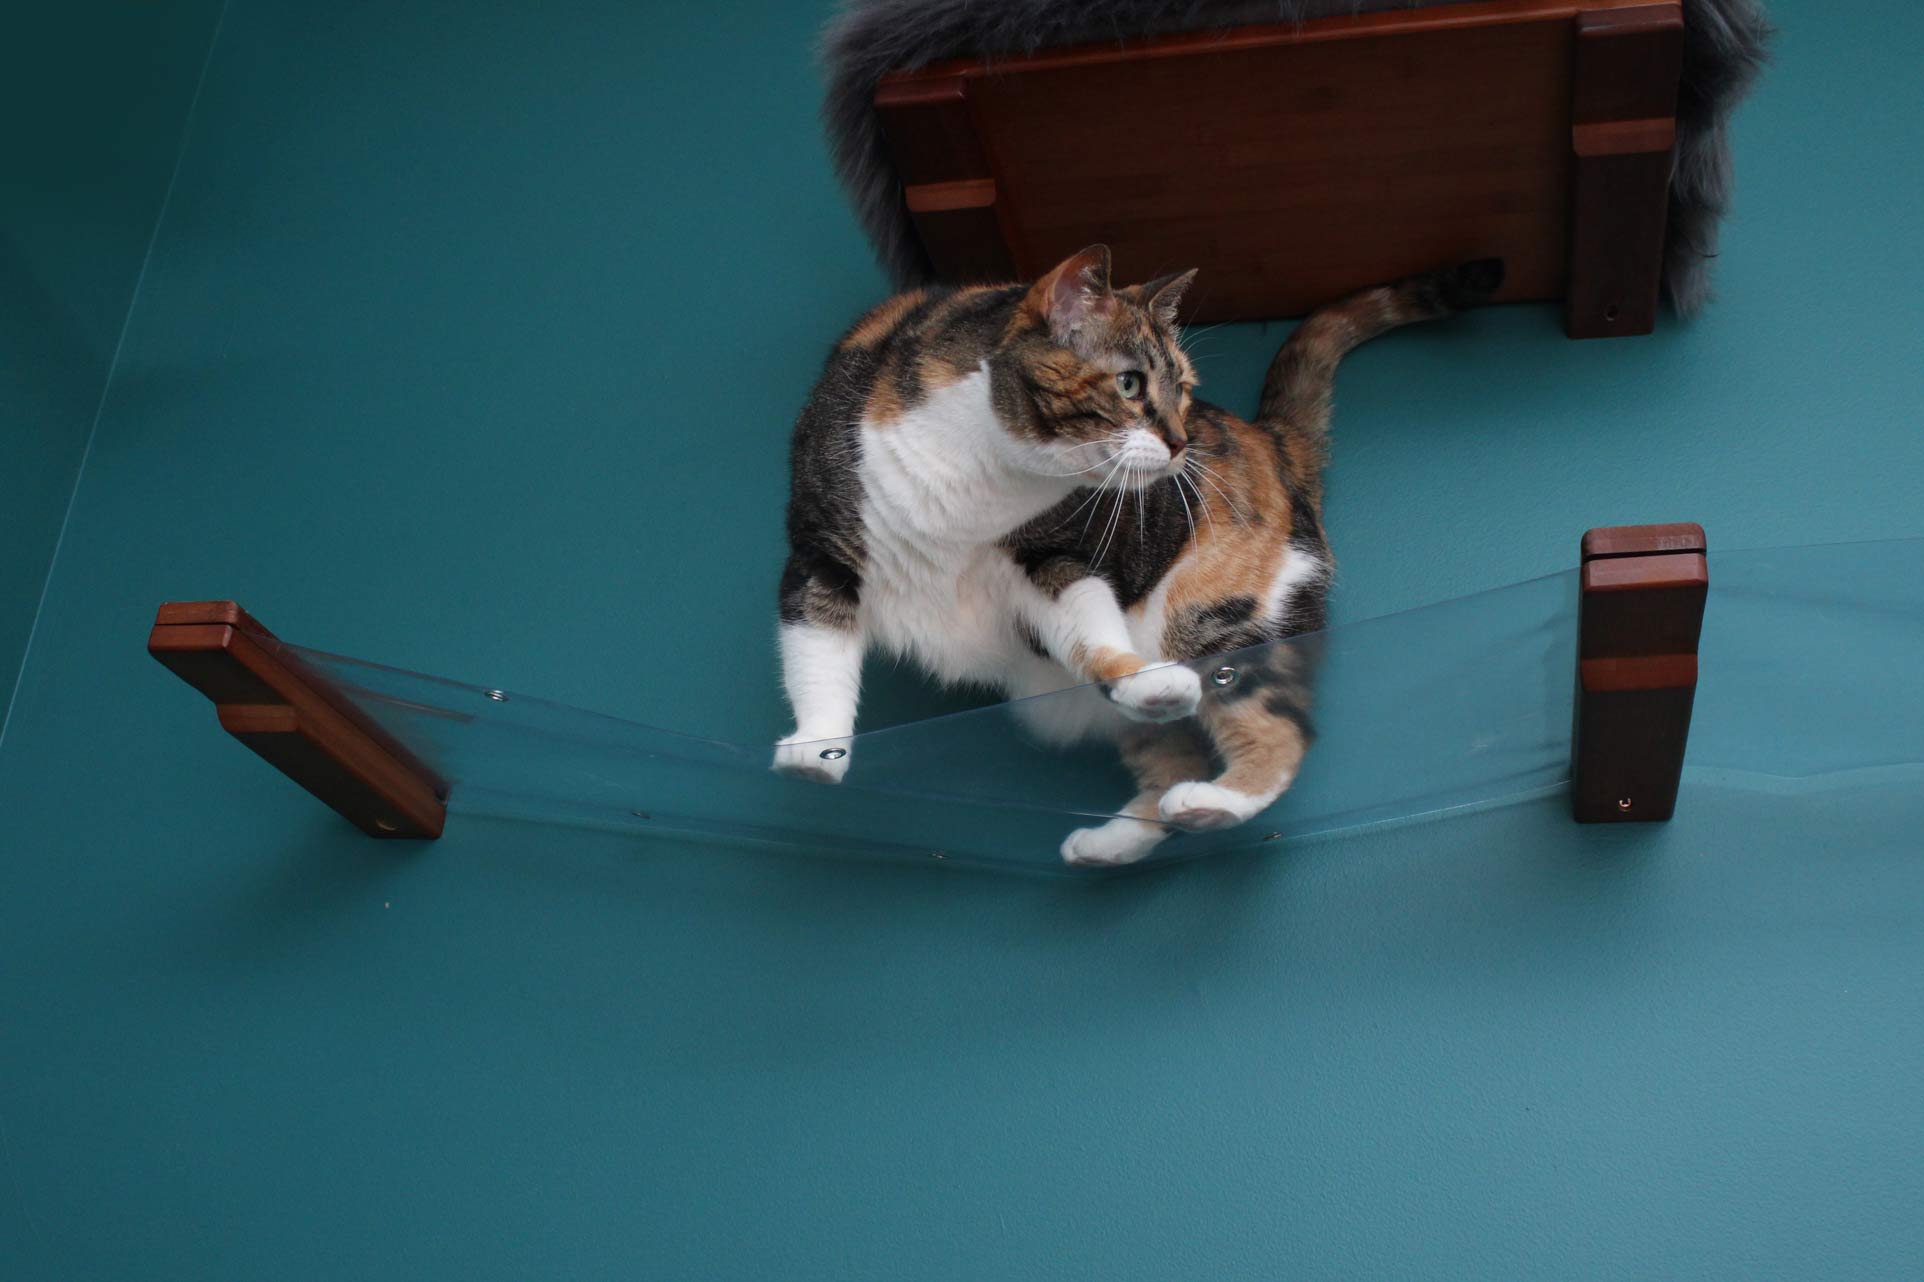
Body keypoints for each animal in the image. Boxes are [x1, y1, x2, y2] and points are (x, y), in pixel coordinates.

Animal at [773, 244, 1493, 862]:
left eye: (1184, 388)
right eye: (1128, 384)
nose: (1181, 443)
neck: (982, 479)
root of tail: (1272, 439)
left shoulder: (1059, 555)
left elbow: (1091, 626)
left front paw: (1137, 676)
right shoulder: (820, 552)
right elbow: (816, 652)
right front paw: (816, 750)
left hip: (1214, 612)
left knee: (1276, 730)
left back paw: (1208, 801)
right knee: (1170, 750)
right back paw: (1111, 839)